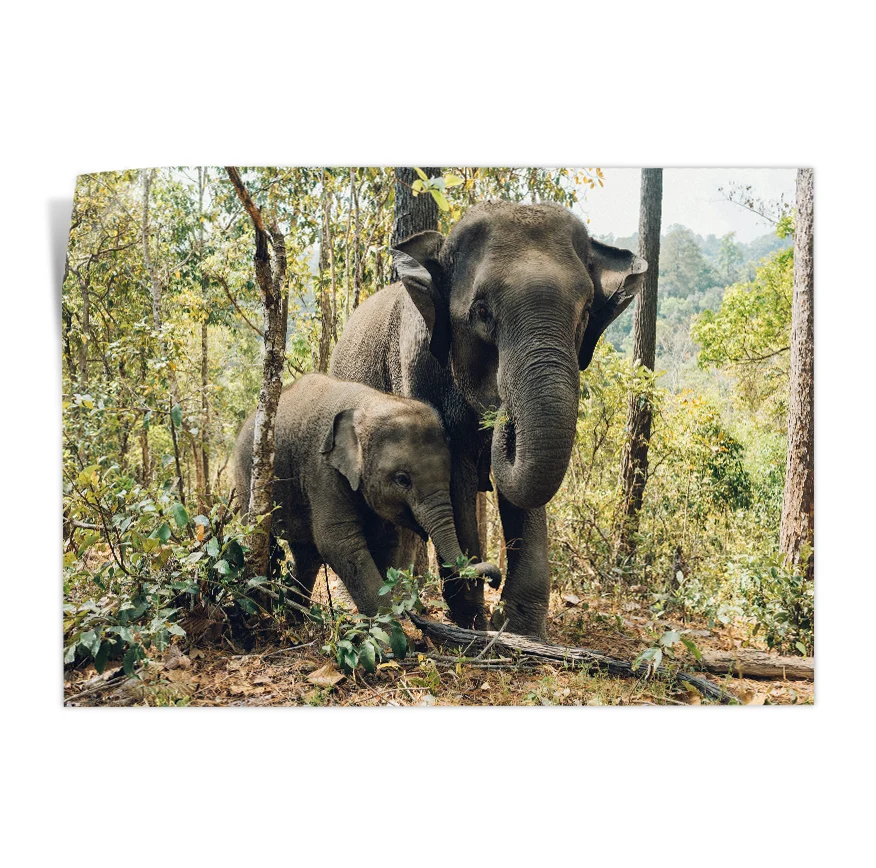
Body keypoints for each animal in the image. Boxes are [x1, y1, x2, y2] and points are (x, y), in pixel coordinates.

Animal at [233, 372, 501, 617]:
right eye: (402, 479)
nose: (494, 580)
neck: (370, 404)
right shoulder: (323, 471)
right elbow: (339, 542)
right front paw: (390, 631)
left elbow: (388, 542)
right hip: (247, 478)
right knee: (262, 538)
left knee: (307, 556)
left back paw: (296, 617)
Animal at [331, 200, 646, 637]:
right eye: (481, 312)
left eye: (585, 314)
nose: (501, 414)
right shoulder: (418, 367)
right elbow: (456, 476)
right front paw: (474, 621)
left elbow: (523, 490)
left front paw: (518, 628)